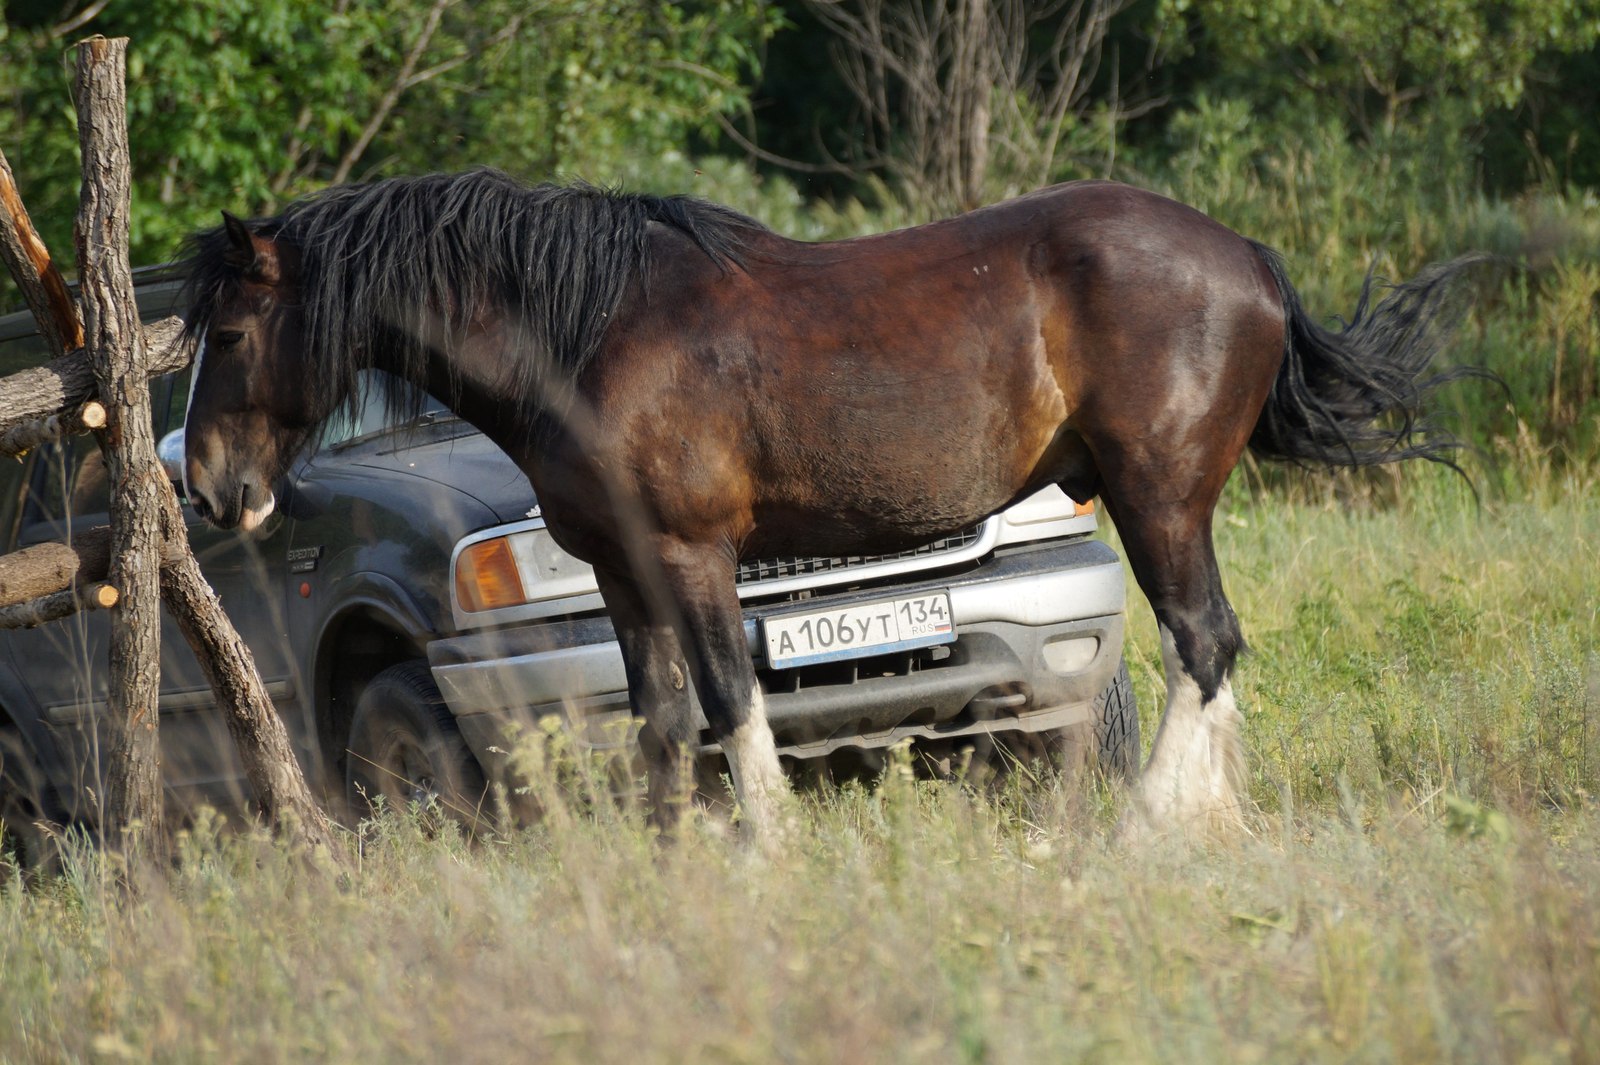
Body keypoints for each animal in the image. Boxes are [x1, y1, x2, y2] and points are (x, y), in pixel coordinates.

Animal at [178, 170, 1472, 837]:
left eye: (230, 335)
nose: (209, 490)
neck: (588, 332)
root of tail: (1246, 259)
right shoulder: (620, 573)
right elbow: (657, 721)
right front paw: (672, 857)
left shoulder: (689, 555)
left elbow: (728, 698)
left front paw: (763, 847)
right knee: (1213, 653)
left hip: (1159, 498)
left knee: (1201, 641)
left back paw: (1150, 822)